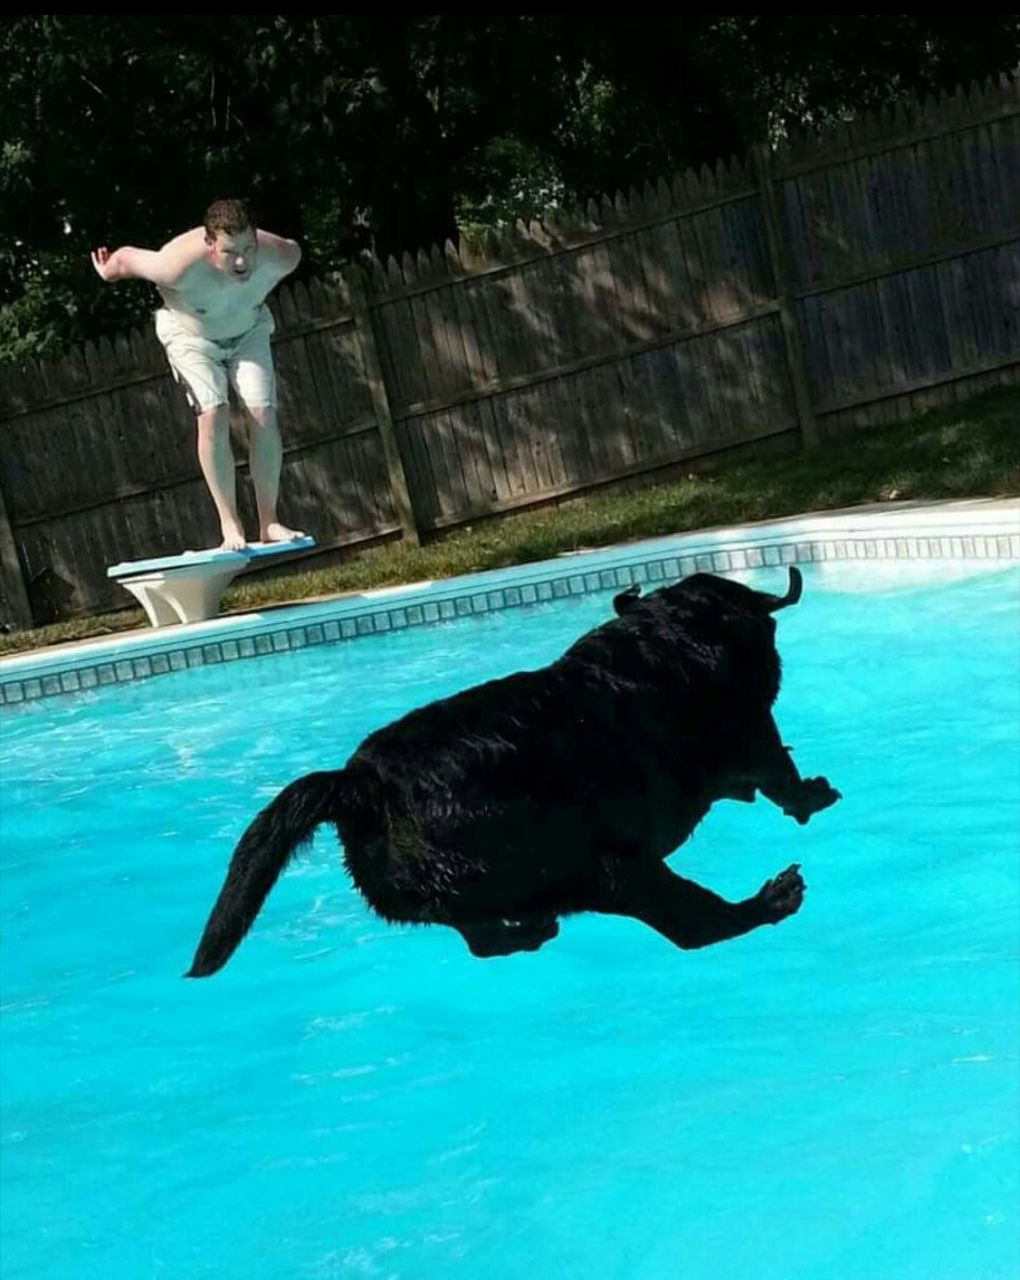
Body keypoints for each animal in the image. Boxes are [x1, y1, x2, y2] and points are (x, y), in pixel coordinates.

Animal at [186, 565, 839, 972]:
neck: (662, 639)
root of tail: (361, 786)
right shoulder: (752, 731)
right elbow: (780, 775)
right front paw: (812, 794)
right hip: (609, 868)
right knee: (695, 927)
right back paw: (771, 900)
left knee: (477, 938)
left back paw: (527, 931)